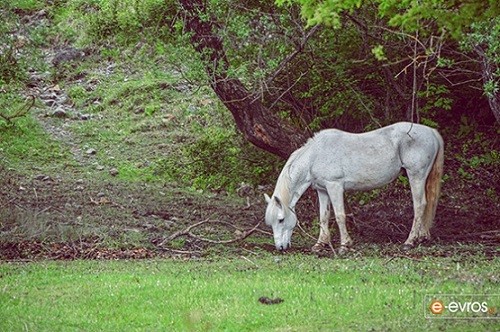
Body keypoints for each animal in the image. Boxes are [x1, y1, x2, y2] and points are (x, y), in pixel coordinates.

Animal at [264, 122, 444, 252]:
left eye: (281, 219)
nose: (280, 248)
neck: (316, 155)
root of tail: (431, 132)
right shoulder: (322, 190)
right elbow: (323, 217)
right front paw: (320, 244)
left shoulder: (335, 186)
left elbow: (339, 215)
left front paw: (345, 245)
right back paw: (422, 237)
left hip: (416, 176)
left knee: (420, 205)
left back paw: (410, 241)